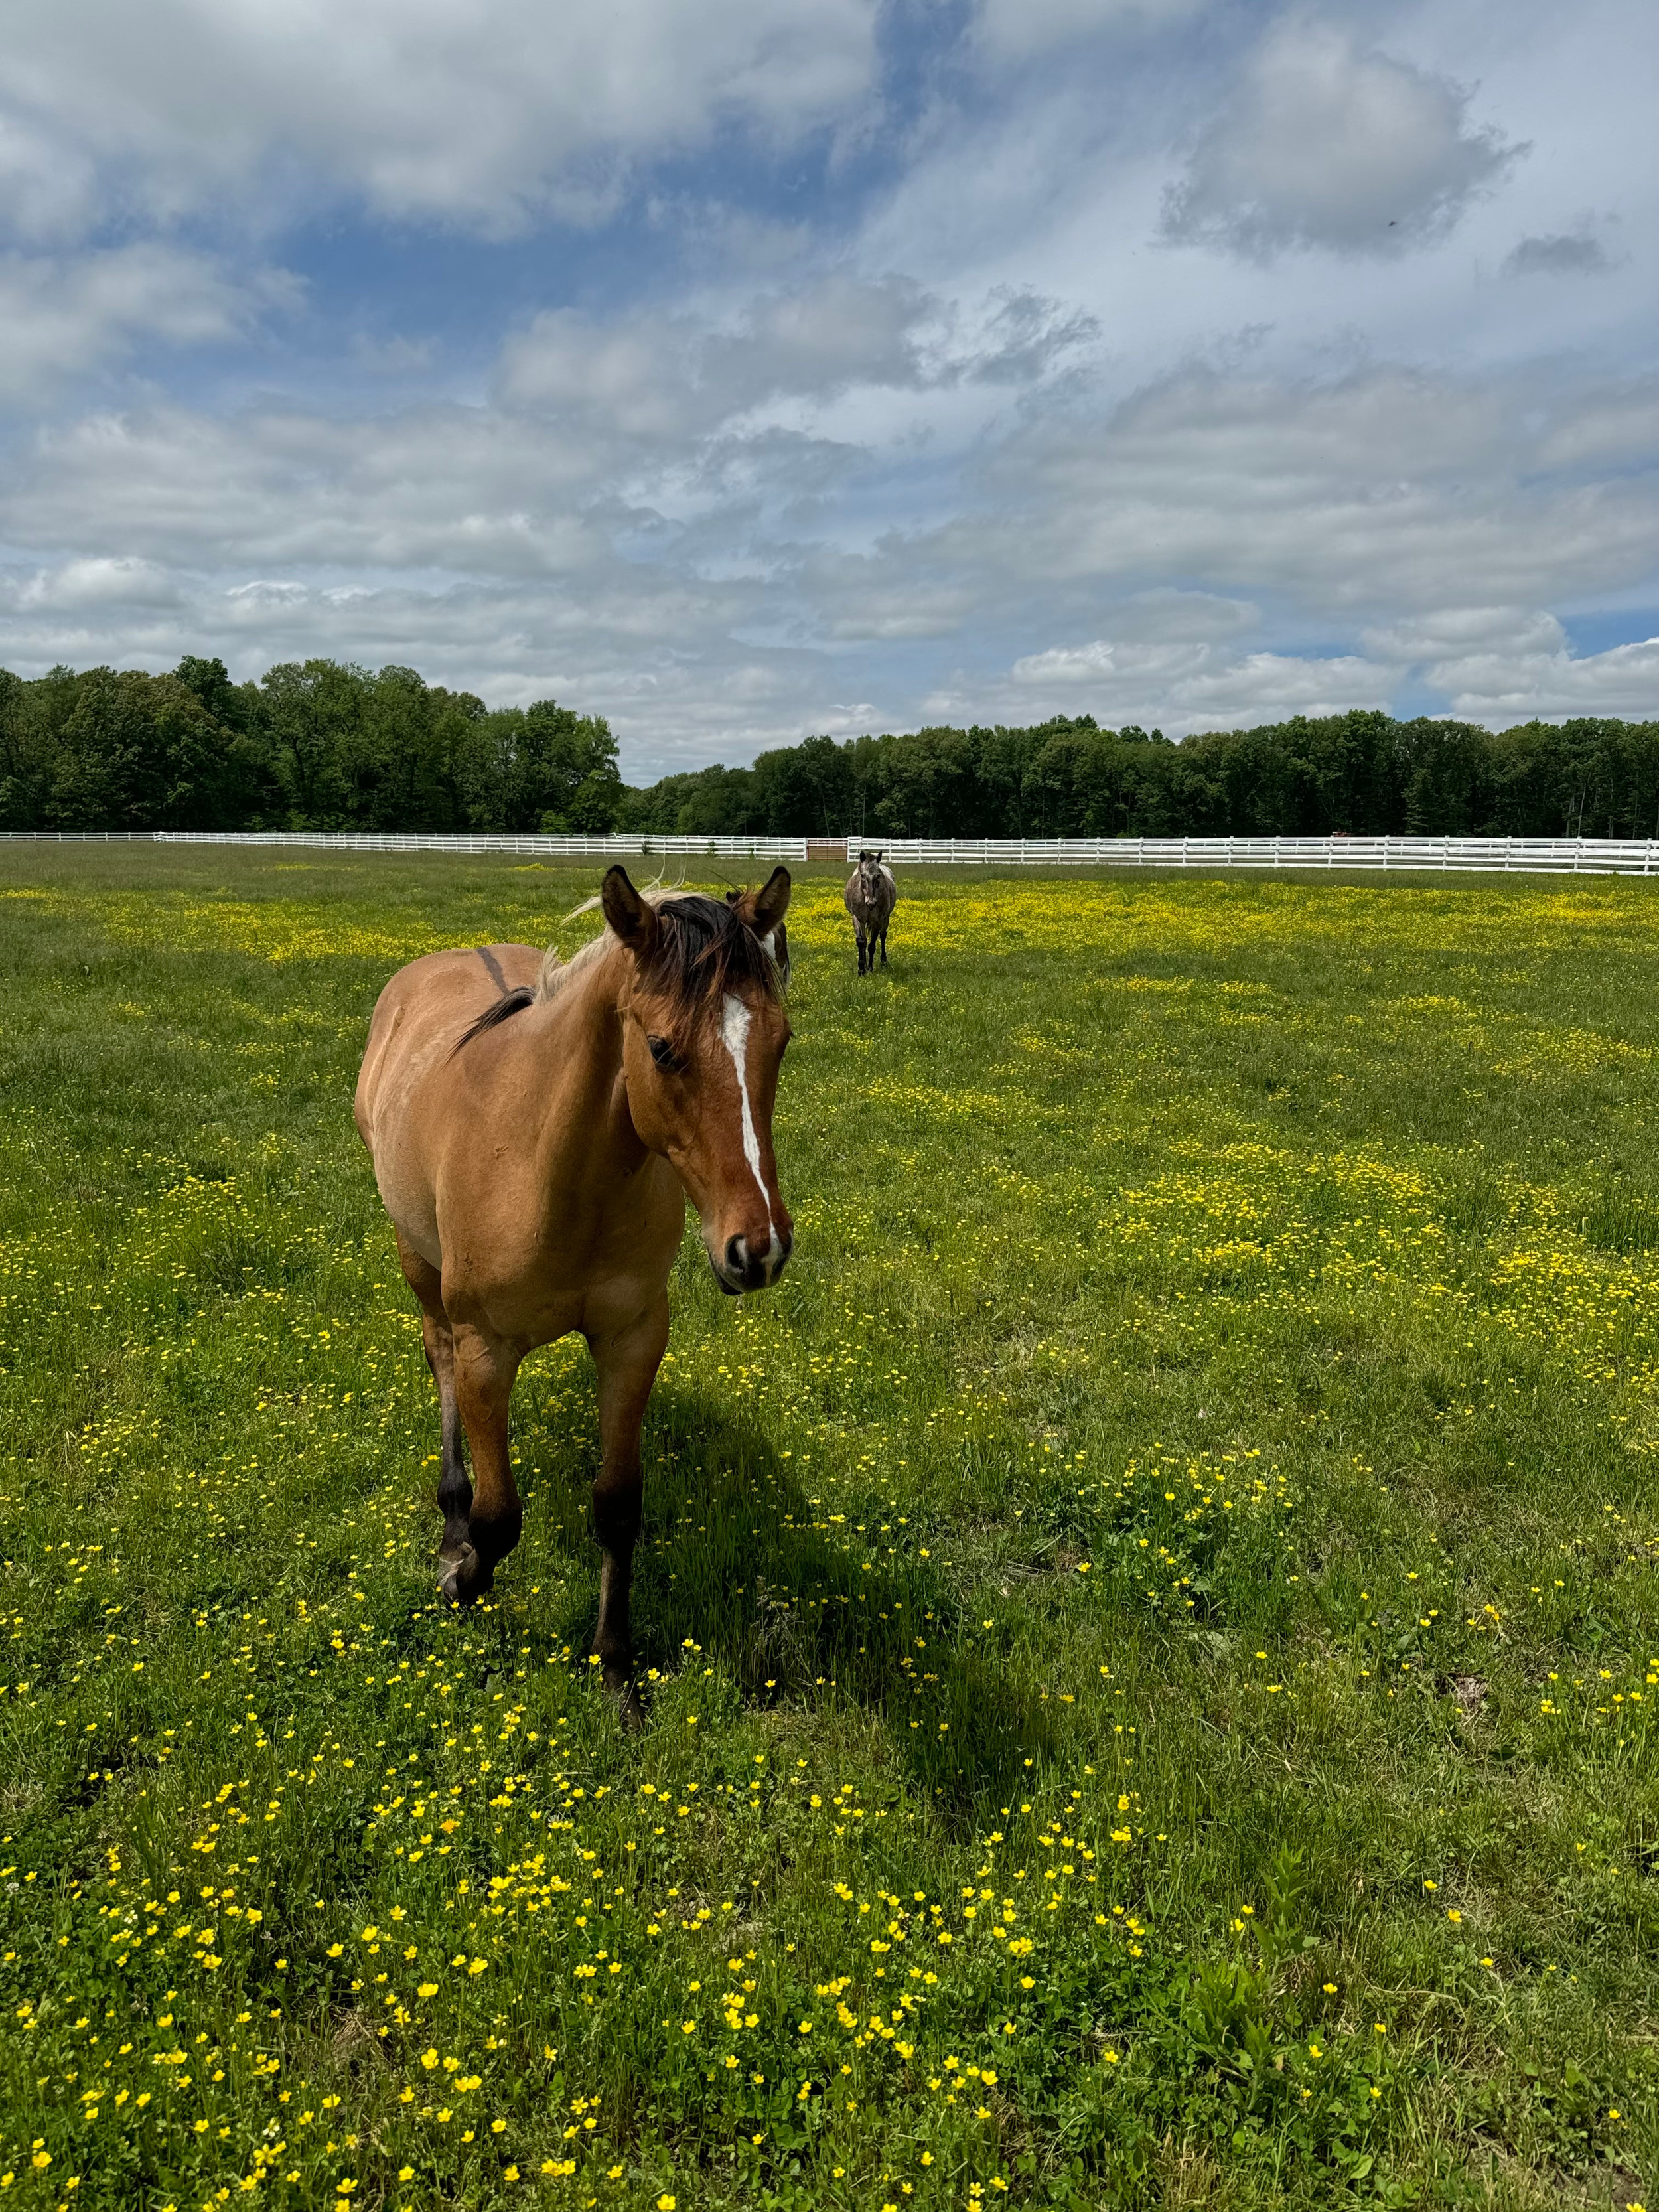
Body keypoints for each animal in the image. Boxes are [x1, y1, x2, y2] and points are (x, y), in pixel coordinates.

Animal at [353, 865, 794, 1713]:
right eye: (661, 1048)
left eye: (781, 1040)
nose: (757, 1250)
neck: (545, 1164)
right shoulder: (488, 1349)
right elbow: (499, 1519)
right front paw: (461, 1578)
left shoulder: (633, 1340)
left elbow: (618, 1506)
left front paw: (615, 1667)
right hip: (416, 1262)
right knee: (439, 1362)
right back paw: (449, 1522)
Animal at [844, 849, 896, 974]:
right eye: (863, 875)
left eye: (878, 875)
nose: (871, 903)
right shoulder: (857, 918)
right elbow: (861, 942)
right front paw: (861, 968)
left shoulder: (878, 920)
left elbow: (872, 945)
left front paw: (870, 967)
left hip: (886, 918)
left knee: (883, 936)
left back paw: (883, 960)